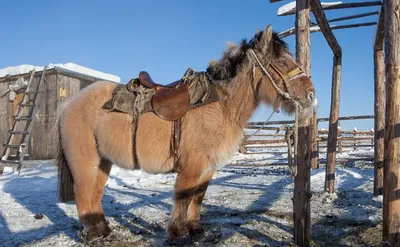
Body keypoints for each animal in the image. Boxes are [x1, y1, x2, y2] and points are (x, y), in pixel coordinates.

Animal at [56, 24, 318, 243]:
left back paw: (103, 230)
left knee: (94, 195)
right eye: (282, 61)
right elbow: (183, 197)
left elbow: (198, 197)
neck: (220, 105)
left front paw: (195, 229)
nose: (311, 96)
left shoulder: (208, 168)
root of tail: (68, 104)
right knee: (83, 194)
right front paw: (178, 232)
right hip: (85, 162)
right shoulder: (191, 167)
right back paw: (93, 236)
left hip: (103, 162)